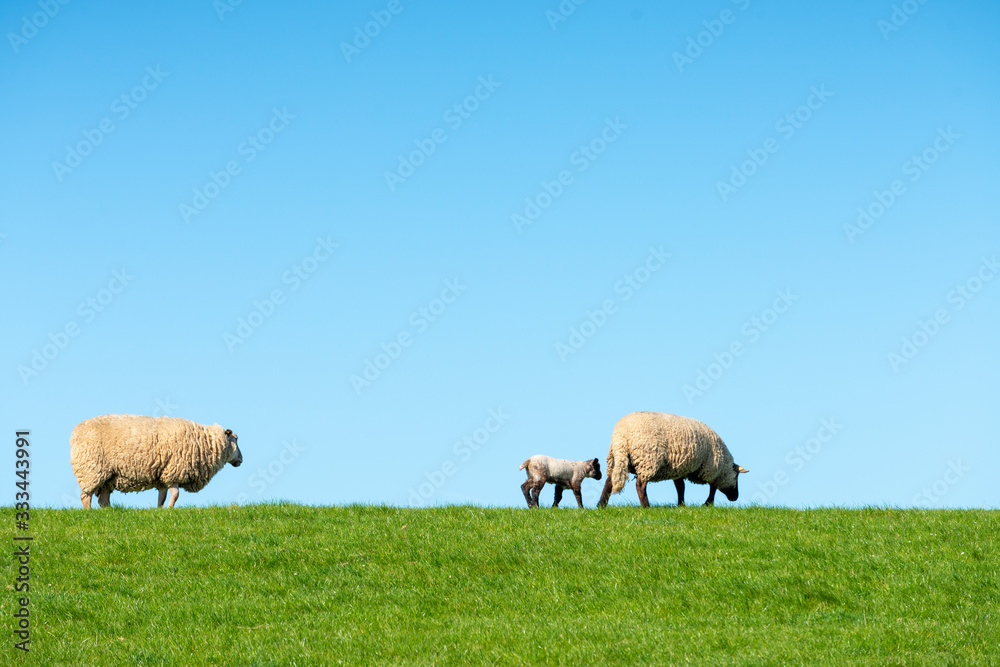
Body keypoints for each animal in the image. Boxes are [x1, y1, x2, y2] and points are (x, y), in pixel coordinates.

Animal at [70, 414, 243, 509]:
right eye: (236, 439)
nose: (241, 460)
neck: (203, 441)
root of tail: (76, 431)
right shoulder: (174, 471)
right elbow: (175, 495)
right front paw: (169, 510)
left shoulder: (163, 475)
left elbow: (162, 496)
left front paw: (159, 510)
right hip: (91, 470)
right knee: (86, 496)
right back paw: (89, 512)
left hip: (108, 477)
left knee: (103, 499)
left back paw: (110, 512)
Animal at [596, 411, 748, 508]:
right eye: (737, 476)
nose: (735, 498)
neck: (724, 467)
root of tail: (621, 435)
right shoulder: (711, 469)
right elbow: (713, 487)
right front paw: (707, 504)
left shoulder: (678, 469)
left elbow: (680, 487)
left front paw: (681, 504)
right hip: (648, 459)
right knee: (640, 485)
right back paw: (646, 506)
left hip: (618, 459)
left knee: (609, 482)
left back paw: (601, 505)